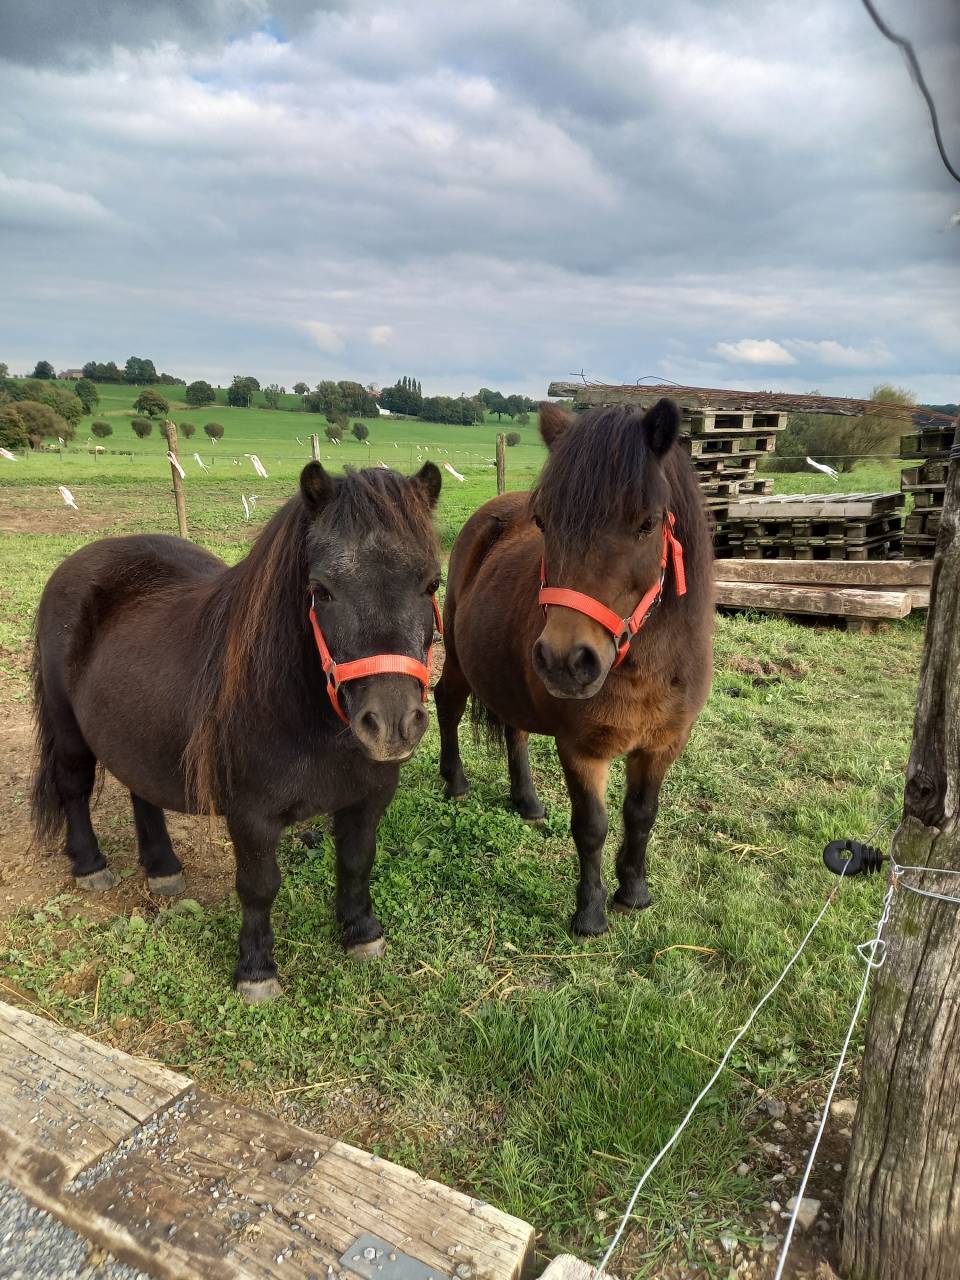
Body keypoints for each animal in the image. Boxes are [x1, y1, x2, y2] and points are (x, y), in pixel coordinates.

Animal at [30, 461, 443, 1002]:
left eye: (431, 584)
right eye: (321, 590)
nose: (392, 724)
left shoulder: (368, 800)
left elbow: (356, 862)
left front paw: (361, 933)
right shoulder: (251, 817)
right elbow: (259, 886)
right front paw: (255, 970)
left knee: (142, 790)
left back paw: (162, 868)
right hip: (70, 731)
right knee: (74, 787)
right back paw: (90, 864)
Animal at [435, 399, 713, 936]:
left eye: (647, 523)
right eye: (545, 522)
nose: (566, 660)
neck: (643, 666)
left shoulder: (663, 745)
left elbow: (641, 815)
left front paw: (634, 893)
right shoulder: (582, 750)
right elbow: (592, 828)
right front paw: (590, 914)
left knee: (515, 730)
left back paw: (527, 802)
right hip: (458, 660)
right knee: (447, 704)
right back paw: (455, 783)